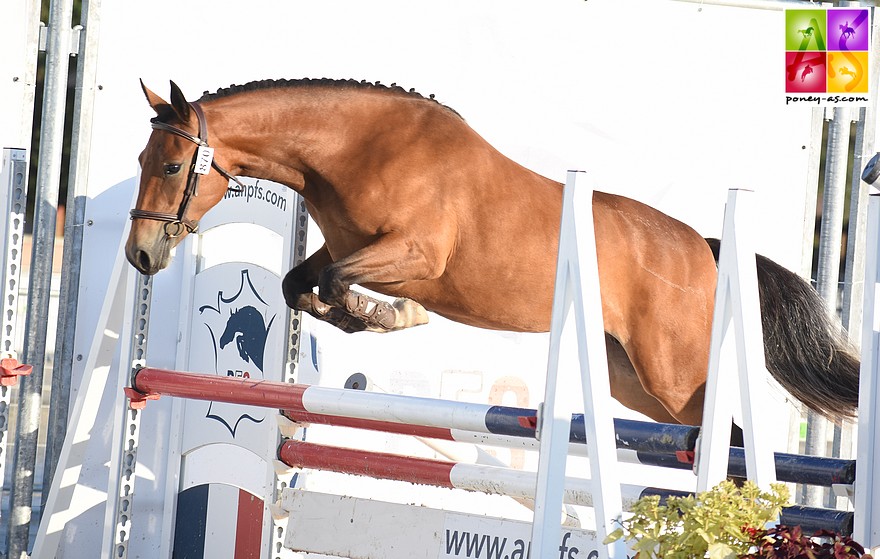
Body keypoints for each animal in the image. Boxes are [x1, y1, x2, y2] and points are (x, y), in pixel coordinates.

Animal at [125, 77, 860, 428]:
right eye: (141, 160)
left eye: (171, 167)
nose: (140, 256)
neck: (354, 149)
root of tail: (704, 249)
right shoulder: (346, 246)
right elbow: (297, 285)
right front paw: (373, 319)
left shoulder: (413, 257)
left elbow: (334, 283)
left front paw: (391, 316)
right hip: (636, 380)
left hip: (674, 372)